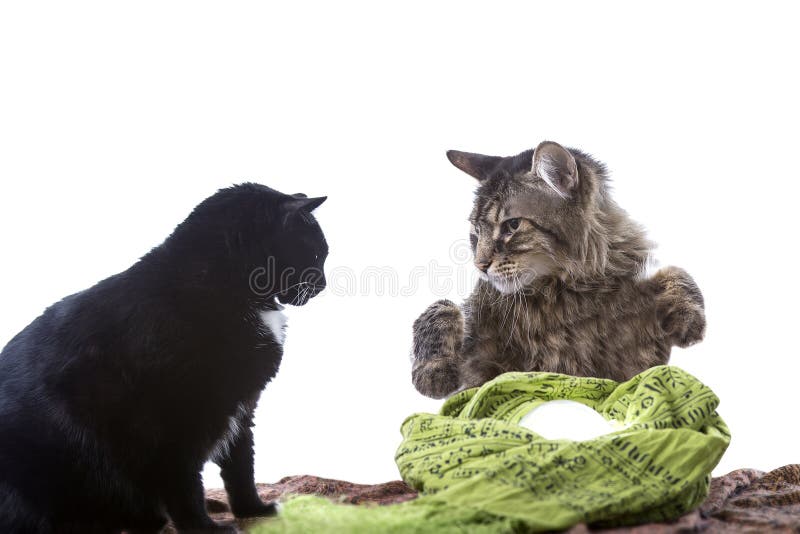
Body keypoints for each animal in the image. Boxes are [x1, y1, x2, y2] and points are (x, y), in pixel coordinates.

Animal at [0, 182, 328, 532]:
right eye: (317, 254)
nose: (323, 284)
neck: (225, 285)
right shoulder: (178, 416)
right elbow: (184, 481)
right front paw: (203, 527)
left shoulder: (241, 405)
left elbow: (241, 464)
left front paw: (254, 509)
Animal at [412, 140, 708, 400]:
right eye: (476, 231)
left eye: (512, 225)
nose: (480, 266)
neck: (563, 292)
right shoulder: (479, 343)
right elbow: (441, 308)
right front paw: (434, 375)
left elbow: (677, 273)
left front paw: (690, 322)